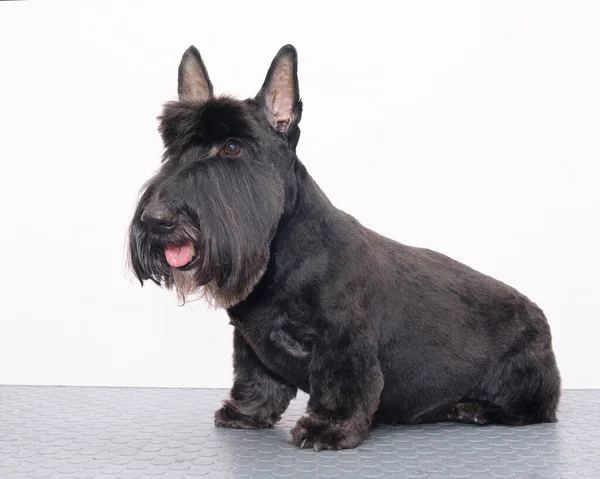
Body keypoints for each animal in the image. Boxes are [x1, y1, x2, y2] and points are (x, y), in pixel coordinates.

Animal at [127, 44, 564, 450]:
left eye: (233, 147)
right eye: (173, 147)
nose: (156, 220)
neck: (283, 256)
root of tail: (540, 318)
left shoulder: (343, 342)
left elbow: (343, 385)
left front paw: (328, 428)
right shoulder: (251, 346)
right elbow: (256, 381)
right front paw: (246, 413)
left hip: (523, 379)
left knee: (536, 409)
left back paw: (477, 408)